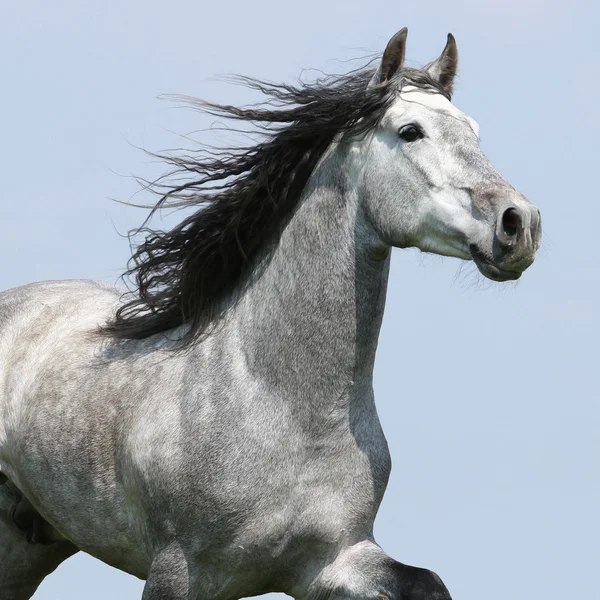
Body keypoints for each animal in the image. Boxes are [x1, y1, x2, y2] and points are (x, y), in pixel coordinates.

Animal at [0, 29, 544, 600]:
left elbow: (428, 583)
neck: (282, 406)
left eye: (474, 131)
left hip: (31, 542)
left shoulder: (331, 563)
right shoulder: (175, 569)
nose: (519, 223)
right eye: (410, 131)